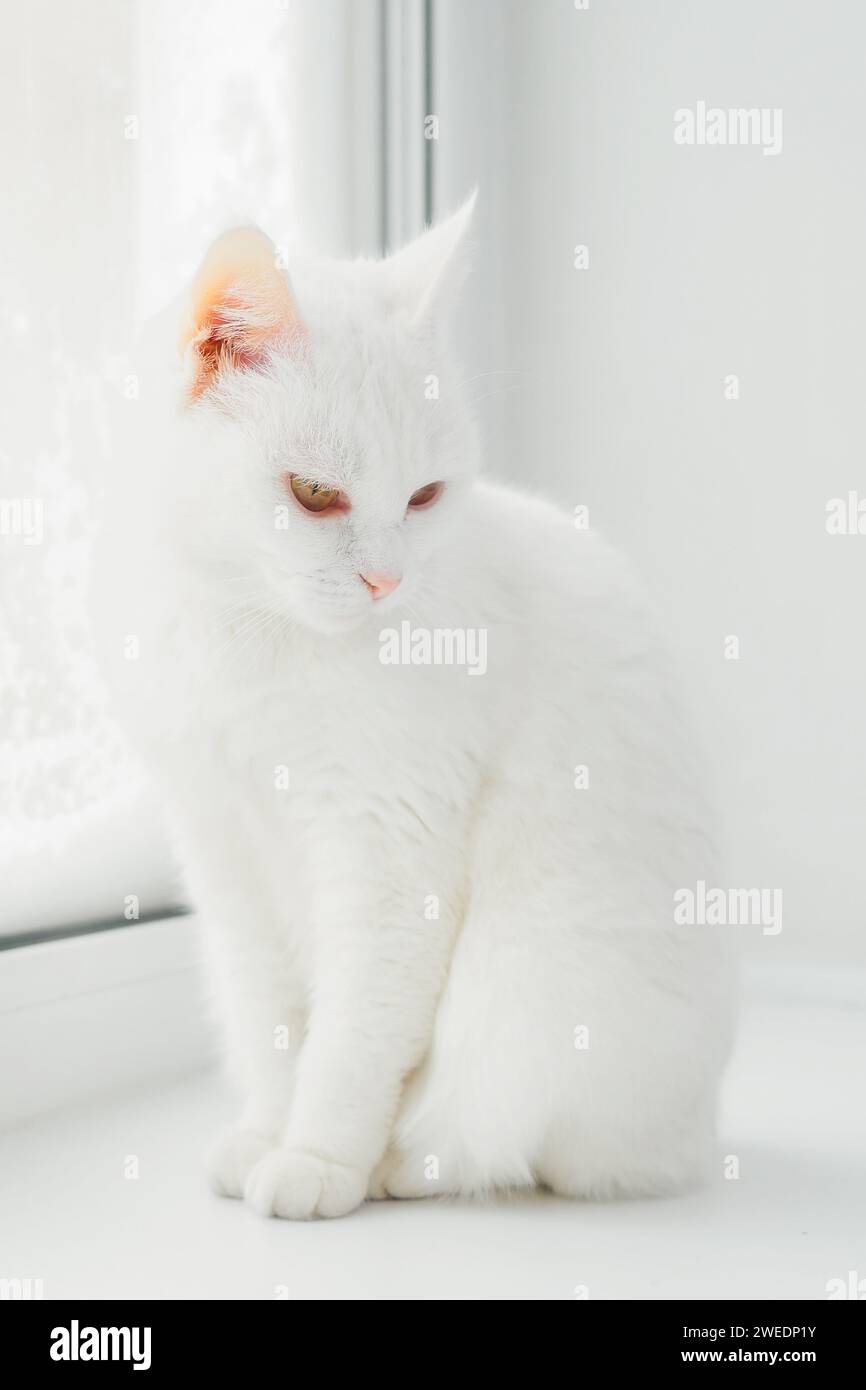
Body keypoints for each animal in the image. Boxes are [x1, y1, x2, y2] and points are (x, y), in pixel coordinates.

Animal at [104, 195, 733, 1217]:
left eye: (426, 496)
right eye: (315, 493)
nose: (388, 583)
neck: (249, 635)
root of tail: (697, 1131)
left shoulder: (387, 845)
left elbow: (354, 1036)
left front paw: (317, 1161)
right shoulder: (220, 844)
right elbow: (268, 1016)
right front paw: (268, 1132)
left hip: (537, 990)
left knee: (516, 1144)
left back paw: (400, 1167)